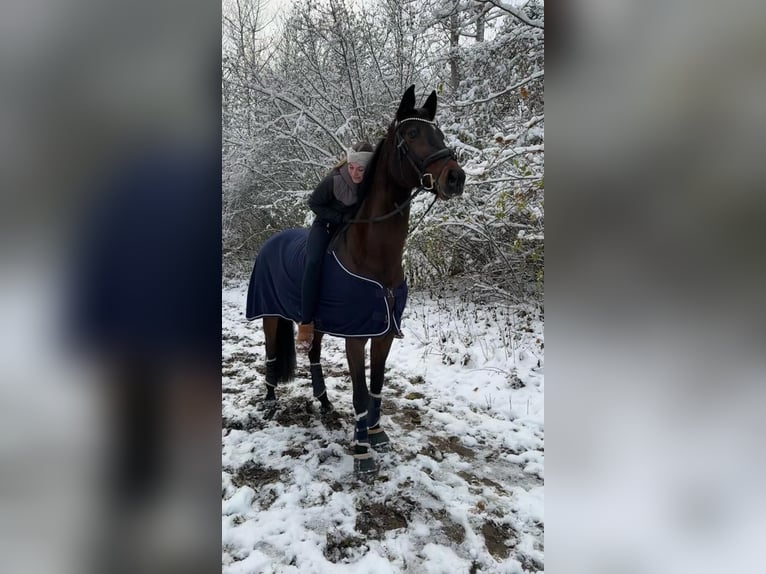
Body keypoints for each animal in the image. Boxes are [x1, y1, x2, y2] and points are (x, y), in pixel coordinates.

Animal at [246, 85, 465, 474]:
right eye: (412, 134)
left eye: (438, 133)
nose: (455, 178)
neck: (373, 255)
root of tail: (270, 242)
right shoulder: (356, 336)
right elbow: (361, 392)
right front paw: (362, 452)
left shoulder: (383, 333)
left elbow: (376, 385)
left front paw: (376, 434)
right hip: (270, 314)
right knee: (271, 352)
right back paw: (270, 399)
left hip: (315, 322)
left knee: (313, 356)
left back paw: (324, 402)